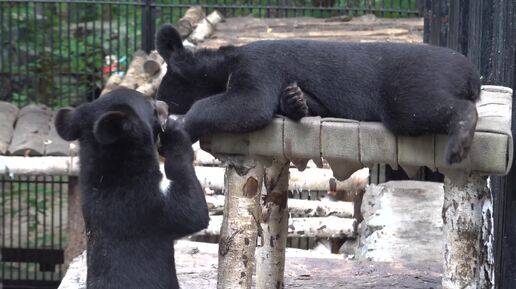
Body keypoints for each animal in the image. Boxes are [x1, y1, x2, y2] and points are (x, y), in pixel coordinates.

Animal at [155, 24, 482, 164]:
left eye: (164, 87)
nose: (158, 102)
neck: (224, 64)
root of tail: (470, 72)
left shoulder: (258, 68)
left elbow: (248, 104)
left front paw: (179, 127)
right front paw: (295, 101)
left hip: (413, 86)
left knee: (428, 109)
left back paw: (457, 146)